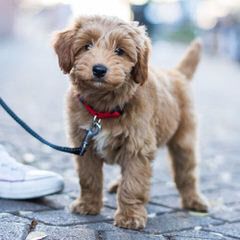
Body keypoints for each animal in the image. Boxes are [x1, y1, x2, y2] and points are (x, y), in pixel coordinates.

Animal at [52, 15, 208, 230]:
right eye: (87, 46)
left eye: (119, 51)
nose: (99, 69)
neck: (103, 108)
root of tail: (177, 74)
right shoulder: (85, 146)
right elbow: (89, 178)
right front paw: (88, 205)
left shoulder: (138, 148)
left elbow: (133, 183)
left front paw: (129, 217)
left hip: (184, 141)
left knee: (187, 172)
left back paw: (193, 199)